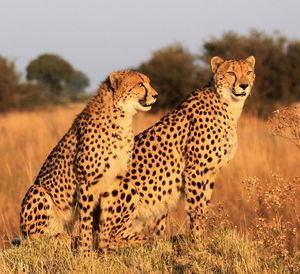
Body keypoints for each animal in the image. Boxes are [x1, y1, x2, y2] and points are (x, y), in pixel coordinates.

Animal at [18, 69, 158, 254]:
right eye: (140, 84)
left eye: (148, 82)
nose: (156, 95)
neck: (121, 117)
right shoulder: (87, 183)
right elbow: (86, 220)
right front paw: (85, 252)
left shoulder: (112, 181)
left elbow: (104, 218)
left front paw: (102, 246)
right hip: (37, 191)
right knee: (34, 239)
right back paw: (58, 238)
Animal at [92, 55, 255, 248]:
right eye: (231, 73)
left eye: (248, 72)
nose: (244, 86)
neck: (228, 106)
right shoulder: (196, 170)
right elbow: (197, 210)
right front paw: (198, 244)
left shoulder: (210, 172)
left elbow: (204, 208)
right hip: (127, 189)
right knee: (107, 238)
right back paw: (152, 241)